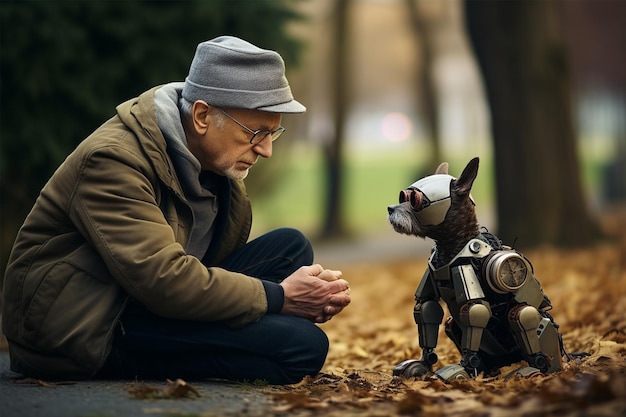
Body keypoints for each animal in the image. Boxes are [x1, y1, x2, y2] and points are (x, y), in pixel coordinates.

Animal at [386, 157, 564, 380]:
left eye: (415, 200)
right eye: (403, 196)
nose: (390, 208)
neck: (450, 247)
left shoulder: (467, 276)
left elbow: (475, 310)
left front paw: (463, 369)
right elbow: (426, 307)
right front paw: (423, 363)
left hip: (534, 330)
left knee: (523, 315)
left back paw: (533, 368)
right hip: (455, 326)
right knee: (452, 323)